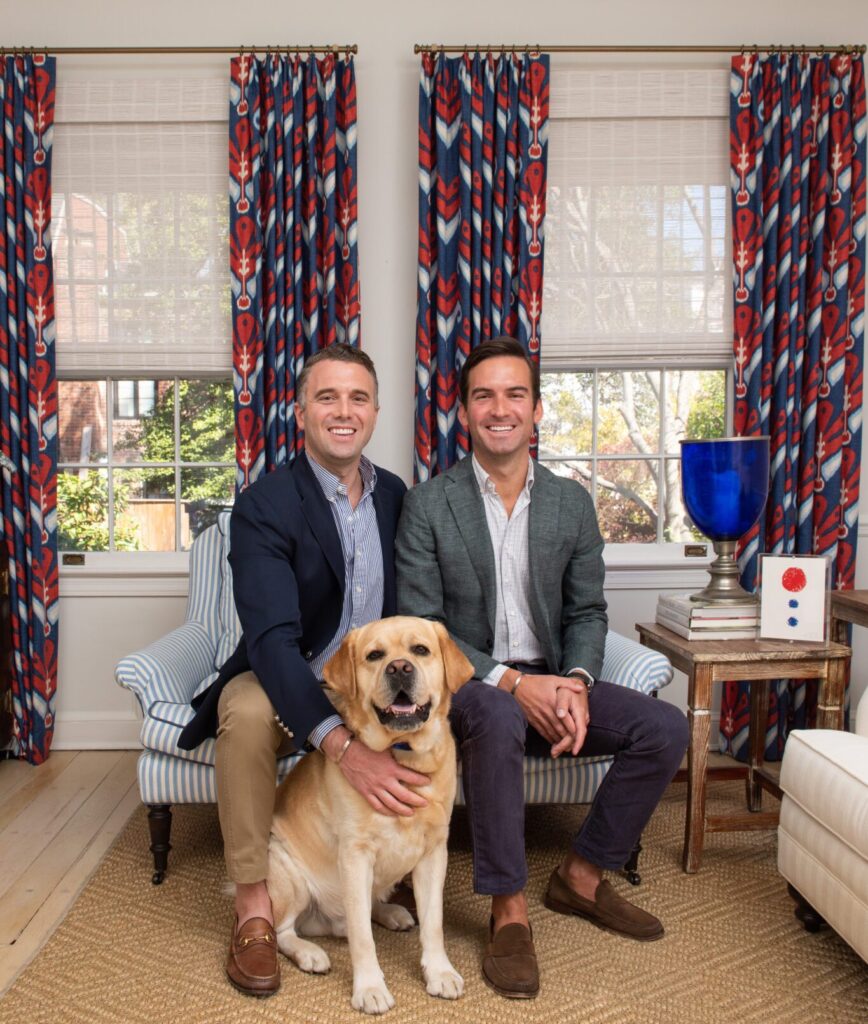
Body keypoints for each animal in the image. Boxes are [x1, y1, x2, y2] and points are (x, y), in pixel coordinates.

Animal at [266, 615, 474, 1014]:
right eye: (374, 655)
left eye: (420, 650)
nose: (399, 668)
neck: (403, 753)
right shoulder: (355, 855)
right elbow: (362, 937)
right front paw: (369, 988)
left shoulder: (433, 853)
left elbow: (434, 924)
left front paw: (439, 972)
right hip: (287, 873)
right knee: (286, 930)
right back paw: (310, 952)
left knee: (360, 910)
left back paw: (391, 912)